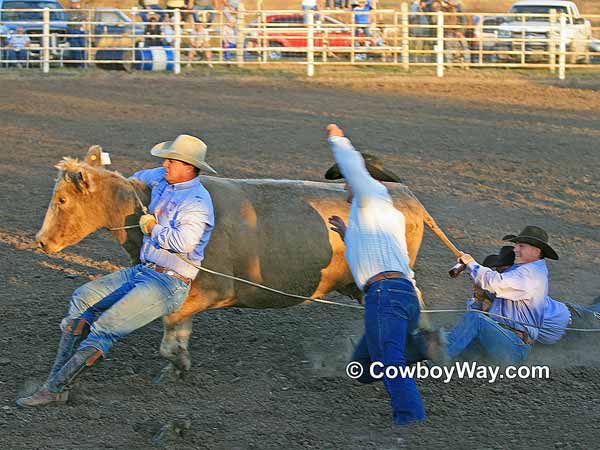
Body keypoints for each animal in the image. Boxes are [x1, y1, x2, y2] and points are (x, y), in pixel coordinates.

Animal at [36, 146, 440, 382]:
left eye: (61, 200)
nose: (41, 242)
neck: (150, 205)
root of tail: (404, 194)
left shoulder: (214, 290)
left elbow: (172, 326)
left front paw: (177, 363)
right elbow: (178, 331)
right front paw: (177, 366)